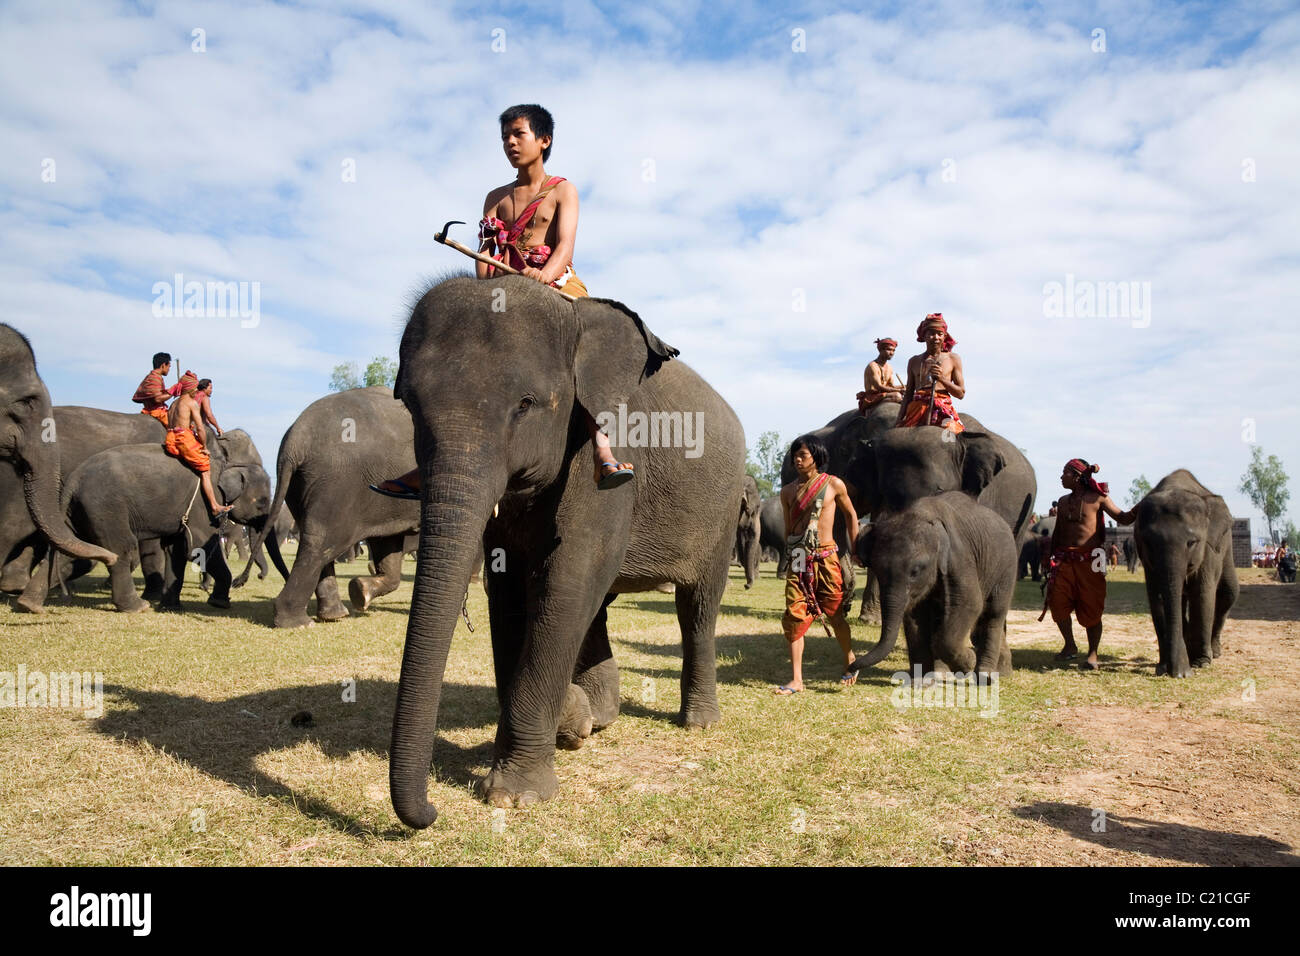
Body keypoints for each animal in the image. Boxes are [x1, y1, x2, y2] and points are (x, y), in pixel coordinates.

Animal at [64, 431, 273, 613]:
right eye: (262, 503)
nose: (245, 580)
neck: (227, 465)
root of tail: (73, 479)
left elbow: (177, 550)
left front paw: (170, 607)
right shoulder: (204, 505)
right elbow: (199, 547)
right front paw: (219, 603)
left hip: (84, 513)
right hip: (106, 508)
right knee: (120, 548)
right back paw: (137, 606)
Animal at [233, 385, 416, 632]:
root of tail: (295, 440)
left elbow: (388, 544)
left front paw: (361, 591)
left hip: (304, 485)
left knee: (319, 542)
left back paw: (335, 614)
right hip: (339, 484)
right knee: (321, 543)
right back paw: (298, 623)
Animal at [390, 273, 748, 827]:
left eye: (526, 403)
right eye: (408, 405)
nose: (429, 812)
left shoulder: (613, 453)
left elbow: (569, 577)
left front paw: (514, 795)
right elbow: (510, 588)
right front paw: (574, 721)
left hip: (723, 511)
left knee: (697, 607)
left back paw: (698, 723)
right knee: (600, 605)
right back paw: (600, 715)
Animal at [847, 494, 1019, 681]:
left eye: (915, 571)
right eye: (877, 571)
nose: (850, 669)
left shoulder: (960, 557)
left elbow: (969, 603)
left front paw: (969, 662)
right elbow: (915, 615)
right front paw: (921, 681)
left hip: (1007, 567)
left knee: (994, 613)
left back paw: (985, 676)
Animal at [1138, 470, 1237, 681]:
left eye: (1192, 542)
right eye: (1149, 543)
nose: (1177, 673)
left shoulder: (1207, 550)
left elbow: (1202, 595)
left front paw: (1200, 663)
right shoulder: (1146, 558)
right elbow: (1158, 598)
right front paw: (1164, 667)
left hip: (1226, 546)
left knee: (1229, 592)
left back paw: (1214, 653)